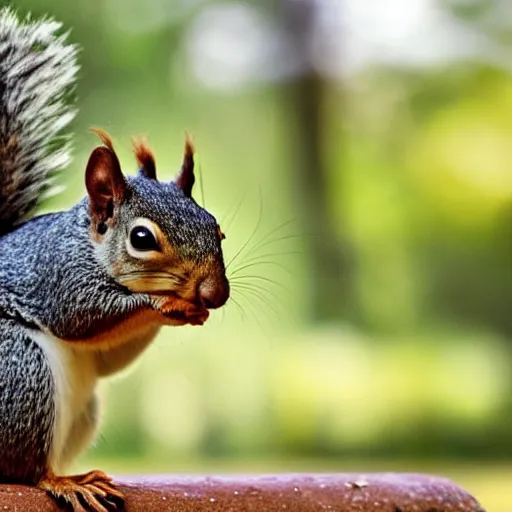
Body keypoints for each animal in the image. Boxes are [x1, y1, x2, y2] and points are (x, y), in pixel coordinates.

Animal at [0, 5, 229, 512]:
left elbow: (109, 357)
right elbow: (83, 314)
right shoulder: (58, 275)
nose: (216, 293)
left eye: (218, 228)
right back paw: (64, 481)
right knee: (23, 471)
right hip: (20, 374)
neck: (88, 244)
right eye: (142, 238)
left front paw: (191, 311)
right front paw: (167, 304)